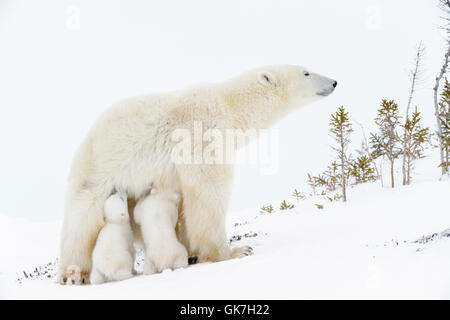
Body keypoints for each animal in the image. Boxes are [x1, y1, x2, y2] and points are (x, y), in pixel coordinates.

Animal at [57, 63, 338, 284]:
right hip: (98, 169)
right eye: (306, 72)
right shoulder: (203, 135)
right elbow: (208, 195)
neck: (229, 106)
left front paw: (192, 252)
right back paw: (73, 274)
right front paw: (234, 251)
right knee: (81, 223)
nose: (334, 81)